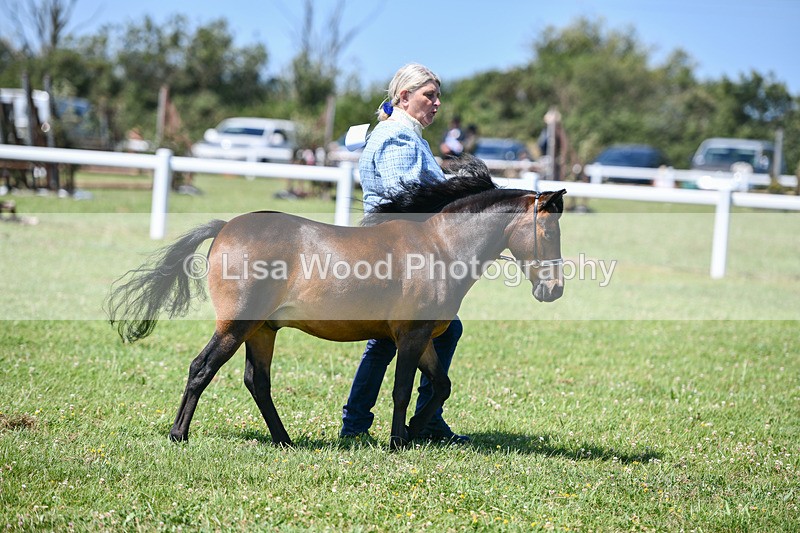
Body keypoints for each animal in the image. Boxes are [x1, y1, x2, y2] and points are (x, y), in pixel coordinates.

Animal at [106, 160, 566, 449]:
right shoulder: (410, 336)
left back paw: (285, 440)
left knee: (258, 381)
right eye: (550, 232)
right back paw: (179, 435)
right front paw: (399, 440)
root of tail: (226, 227)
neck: (440, 248)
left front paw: (416, 430)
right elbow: (402, 389)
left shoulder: (423, 340)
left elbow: (441, 385)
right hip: (235, 326)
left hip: (262, 331)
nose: (554, 289)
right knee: (201, 368)